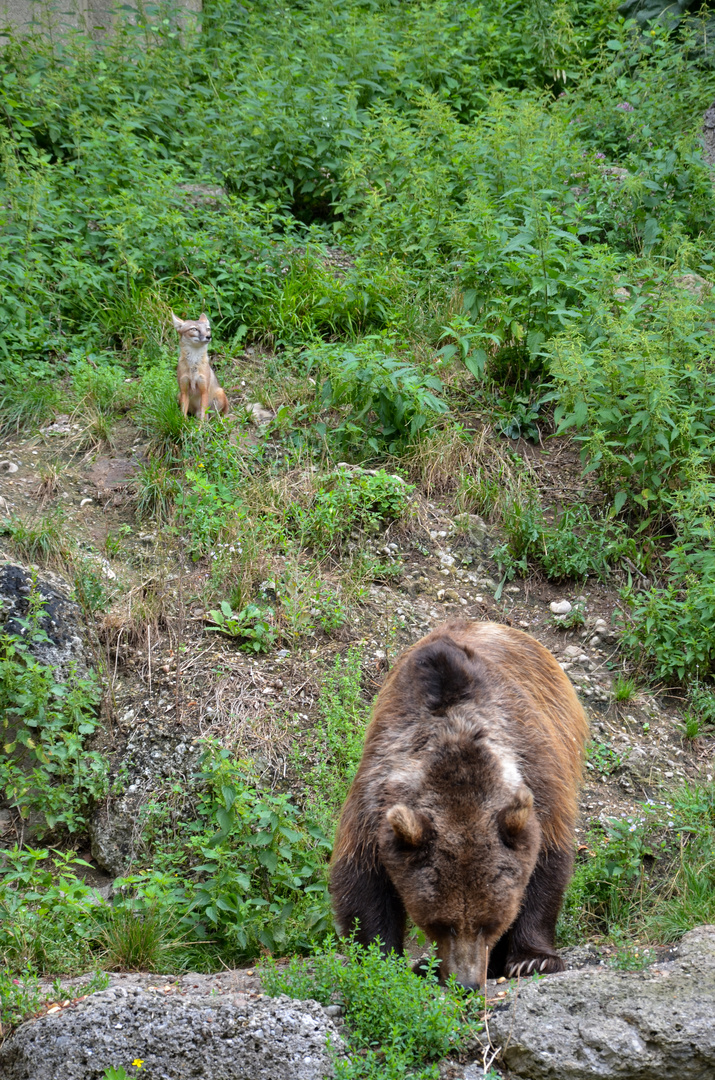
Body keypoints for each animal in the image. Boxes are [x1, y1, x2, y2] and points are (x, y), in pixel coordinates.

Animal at [330, 622, 587, 989]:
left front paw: (533, 959)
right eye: (439, 922)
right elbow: (362, 879)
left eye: (490, 922)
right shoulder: (374, 798)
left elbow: (546, 866)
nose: (466, 984)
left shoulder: (538, 781)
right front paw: (381, 959)